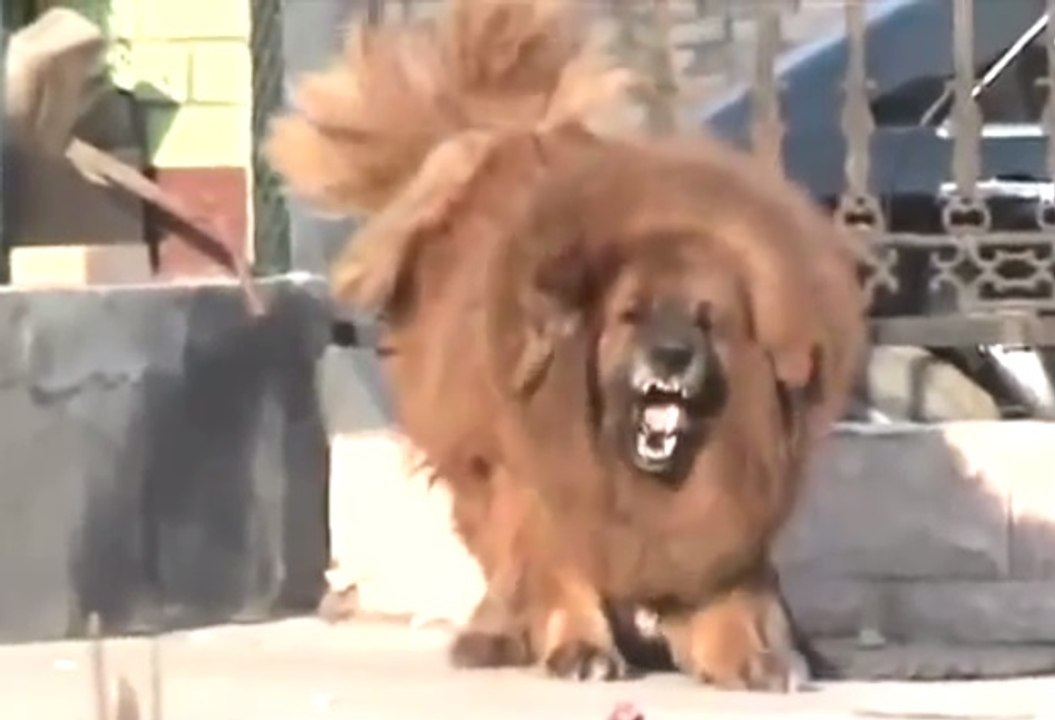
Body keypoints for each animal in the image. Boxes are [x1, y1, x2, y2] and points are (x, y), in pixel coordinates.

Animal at [265, 0, 867, 691]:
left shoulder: (724, 513)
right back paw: (496, 635)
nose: (672, 356)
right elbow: (559, 573)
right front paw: (581, 647)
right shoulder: (543, 489)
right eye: (630, 316)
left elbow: (732, 594)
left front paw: (754, 652)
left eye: (707, 321)